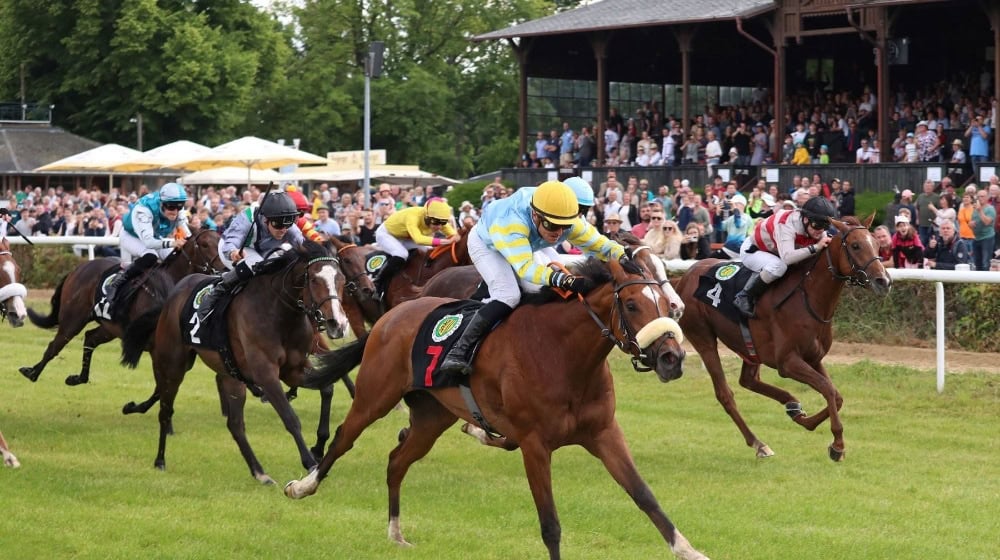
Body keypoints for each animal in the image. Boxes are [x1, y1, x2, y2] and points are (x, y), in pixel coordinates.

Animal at [19, 229, 224, 384]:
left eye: (221, 241)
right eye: (204, 245)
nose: (224, 268)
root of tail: (79, 268)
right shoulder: (152, 344)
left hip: (111, 327)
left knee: (90, 338)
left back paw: (79, 378)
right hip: (73, 319)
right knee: (55, 345)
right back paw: (32, 372)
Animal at [120, 240, 350, 482]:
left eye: (342, 280)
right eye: (314, 279)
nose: (338, 324)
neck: (280, 314)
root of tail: (176, 291)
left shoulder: (294, 370)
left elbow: (327, 388)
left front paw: (320, 444)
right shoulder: (266, 374)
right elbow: (290, 417)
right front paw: (310, 463)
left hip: (229, 375)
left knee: (235, 425)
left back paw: (260, 473)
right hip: (174, 364)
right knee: (165, 411)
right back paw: (160, 460)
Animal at [282, 260, 704, 560]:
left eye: (667, 306)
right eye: (631, 305)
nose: (672, 358)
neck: (563, 355)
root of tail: (392, 314)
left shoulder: (603, 433)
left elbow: (644, 495)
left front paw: (689, 549)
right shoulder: (535, 444)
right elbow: (550, 523)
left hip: (433, 417)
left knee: (397, 459)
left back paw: (396, 532)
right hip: (375, 395)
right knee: (344, 438)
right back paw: (303, 486)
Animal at [672, 214, 892, 460]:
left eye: (877, 243)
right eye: (855, 245)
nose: (883, 281)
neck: (808, 299)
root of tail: (685, 278)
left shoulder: (813, 358)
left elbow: (836, 395)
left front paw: (803, 418)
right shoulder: (788, 362)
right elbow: (826, 389)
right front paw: (837, 445)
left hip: (749, 347)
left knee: (748, 380)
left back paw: (791, 403)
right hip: (704, 339)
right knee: (725, 394)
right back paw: (759, 443)